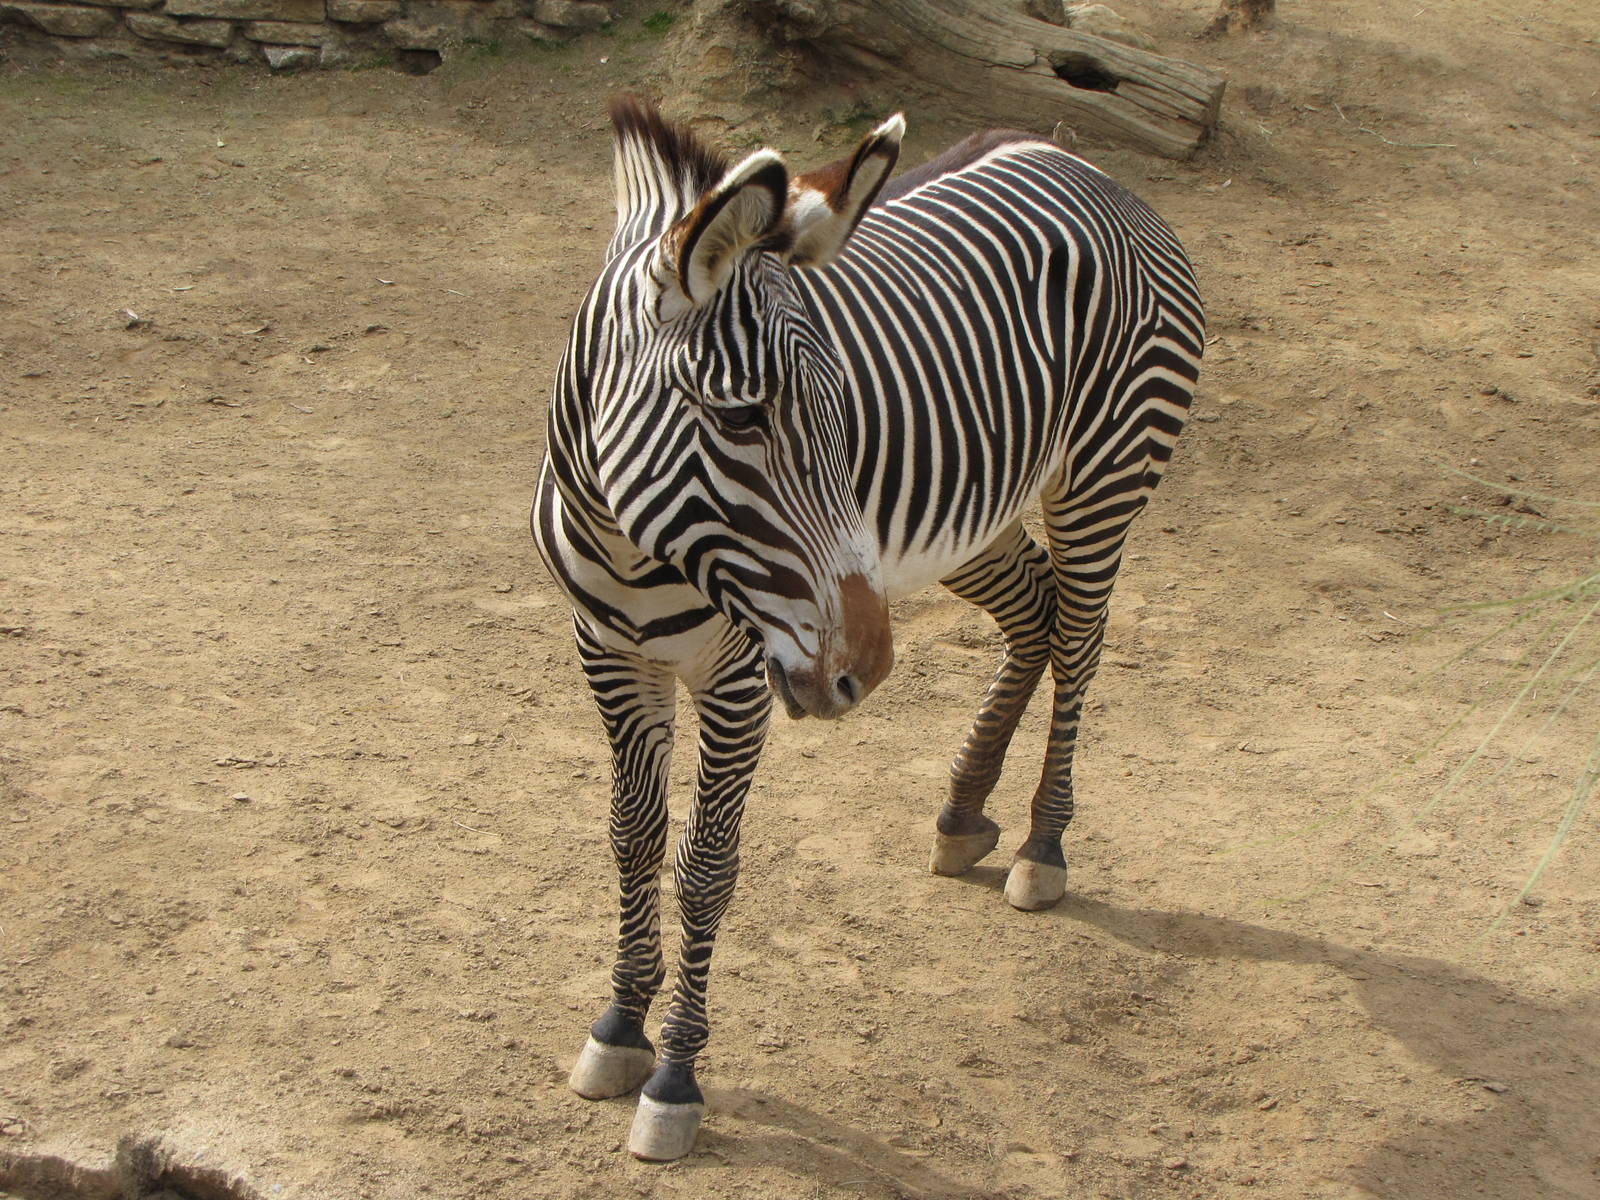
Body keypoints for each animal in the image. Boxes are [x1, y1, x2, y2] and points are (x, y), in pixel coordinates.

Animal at [531, 98, 1203, 1161]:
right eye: (742, 418)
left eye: (846, 410)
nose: (869, 669)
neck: (636, 546)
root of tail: (1081, 162)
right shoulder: (608, 653)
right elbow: (633, 842)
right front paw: (619, 1027)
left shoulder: (737, 678)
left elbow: (705, 869)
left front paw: (675, 1077)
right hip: (977, 518)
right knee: (1039, 616)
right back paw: (964, 812)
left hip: (1105, 477)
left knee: (1083, 643)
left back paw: (1043, 847)